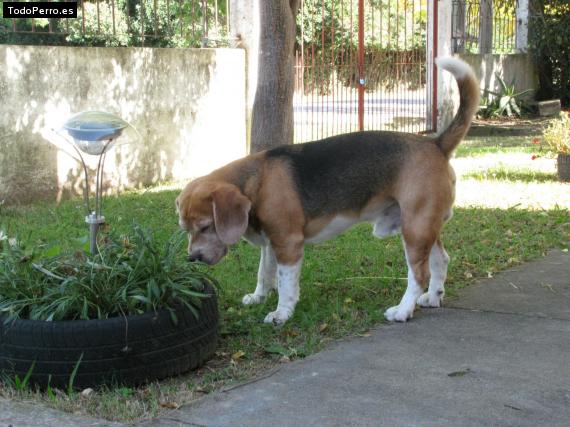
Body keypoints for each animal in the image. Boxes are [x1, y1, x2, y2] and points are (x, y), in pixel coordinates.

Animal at [178, 56, 480, 324]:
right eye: (186, 229)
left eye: (206, 227)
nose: (193, 258)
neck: (256, 180)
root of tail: (435, 143)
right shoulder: (271, 244)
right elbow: (264, 273)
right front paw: (258, 297)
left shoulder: (288, 244)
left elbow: (285, 283)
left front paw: (281, 313)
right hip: (424, 228)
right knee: (441, 260)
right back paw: (433, 297)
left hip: (415, 229)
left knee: (419, 275)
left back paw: (403, 310)